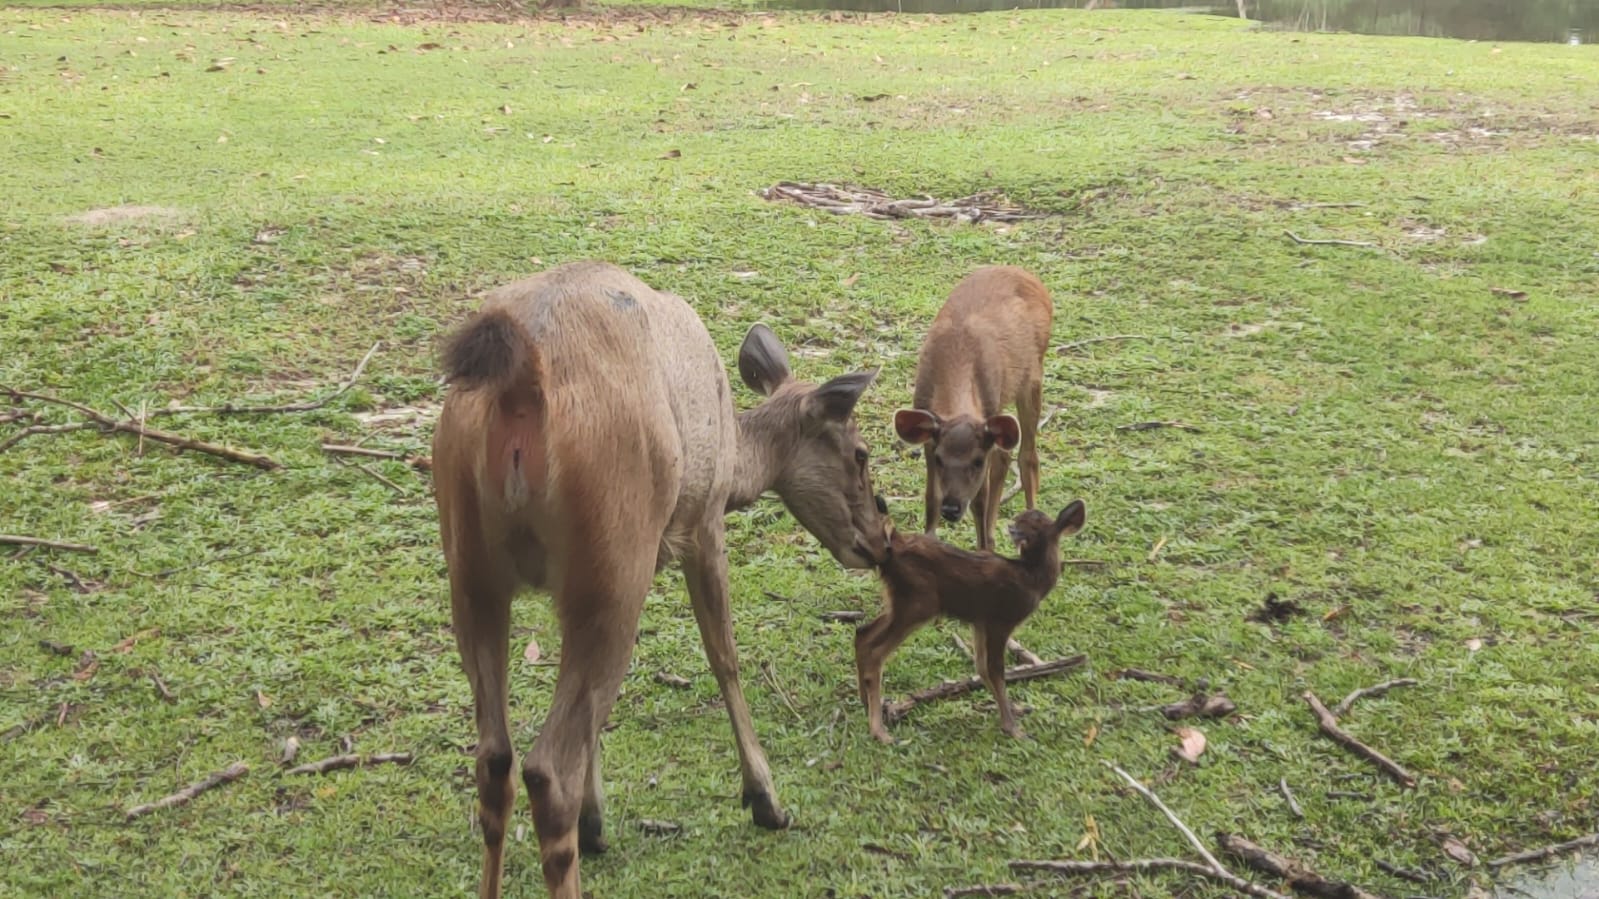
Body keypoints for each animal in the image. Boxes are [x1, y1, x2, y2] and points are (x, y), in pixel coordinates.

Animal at [431, 261, 888, 899]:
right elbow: (725, 657)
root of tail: (521, 388)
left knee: (496, 757)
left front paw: (597, 823)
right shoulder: (703, 520)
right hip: (614, 554)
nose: (879, 539)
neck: (737, 457)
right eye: (861, 453)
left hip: (472, 567)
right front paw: (766, 800)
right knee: (547, 769)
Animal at [855, 498, 1087, 743]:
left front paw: (1014, 710)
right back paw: (880, 731)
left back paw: (867, 704)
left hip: (901, 604)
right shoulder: (1001, 620)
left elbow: (982, 667)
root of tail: (894, 543)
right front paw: (1013, 729)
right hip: (919, 603)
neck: (1031, 578)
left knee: (863, 633)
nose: (1013, 526)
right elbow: (995, 669)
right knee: (875, 651)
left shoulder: (981, 621)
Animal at [893, 265, 1054, 552]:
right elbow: (930, 498)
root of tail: (1024, 273)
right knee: (1005, 456)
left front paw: (983, 551)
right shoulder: (929, 433)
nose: (952, 508)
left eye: (977, 461)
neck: (956, 357)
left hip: (1032, 376)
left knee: (1028, 457)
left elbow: (979, 501)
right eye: (940, 459)